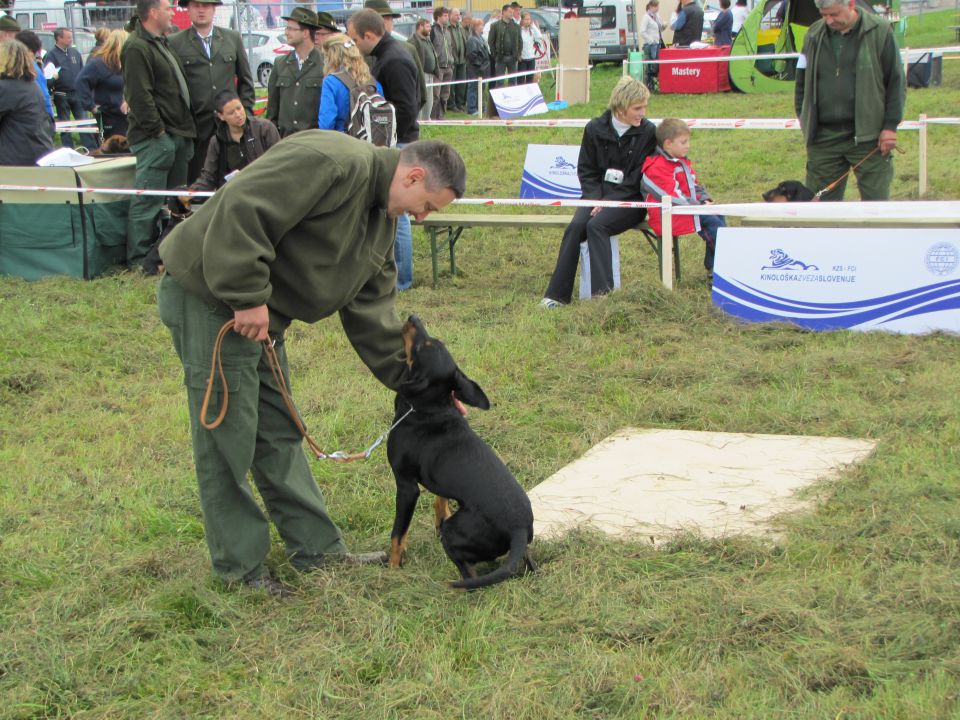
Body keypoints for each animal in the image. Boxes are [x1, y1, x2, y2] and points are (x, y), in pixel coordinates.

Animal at [386, 316, 536, 592]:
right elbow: (440, 499)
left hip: (455, 532)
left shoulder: (406, 486)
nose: (413, 317)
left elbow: (397, 534)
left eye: (422, 346)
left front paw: (392, 569)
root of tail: (519, 530)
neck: (429, 407)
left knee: (470, 579)